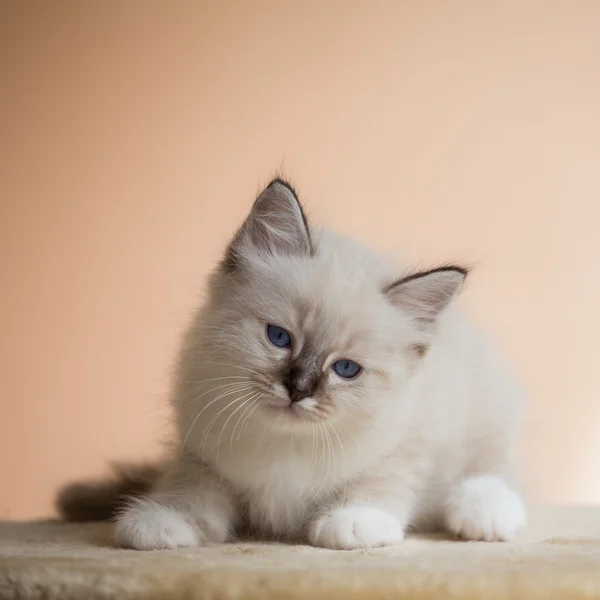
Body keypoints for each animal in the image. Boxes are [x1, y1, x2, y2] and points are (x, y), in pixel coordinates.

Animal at [57, 177, 524, 548]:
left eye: (346, 369)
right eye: (279, 338)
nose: (298, 389)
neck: (284, 444)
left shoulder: (408, 446)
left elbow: (380, 484)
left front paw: (354, 524)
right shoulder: (202, 455)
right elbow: (190, 492)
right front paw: (161, 522)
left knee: (497, 474)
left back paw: (486, 514)